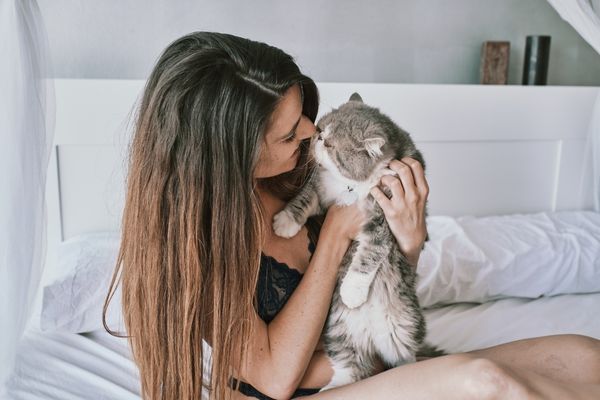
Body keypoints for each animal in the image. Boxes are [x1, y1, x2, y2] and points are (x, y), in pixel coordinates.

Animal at [272, 92, 440, 390]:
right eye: (320, 130)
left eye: (330, 144)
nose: (316, 137)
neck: (351, 186)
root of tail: (370, 336)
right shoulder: (321, 190)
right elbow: (303, 199)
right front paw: (285, 223)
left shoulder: (383, 221)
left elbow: (369, 256)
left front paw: (352, 291)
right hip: (339, 332)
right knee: (351, 369)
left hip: (405, 329)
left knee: (403, 359)